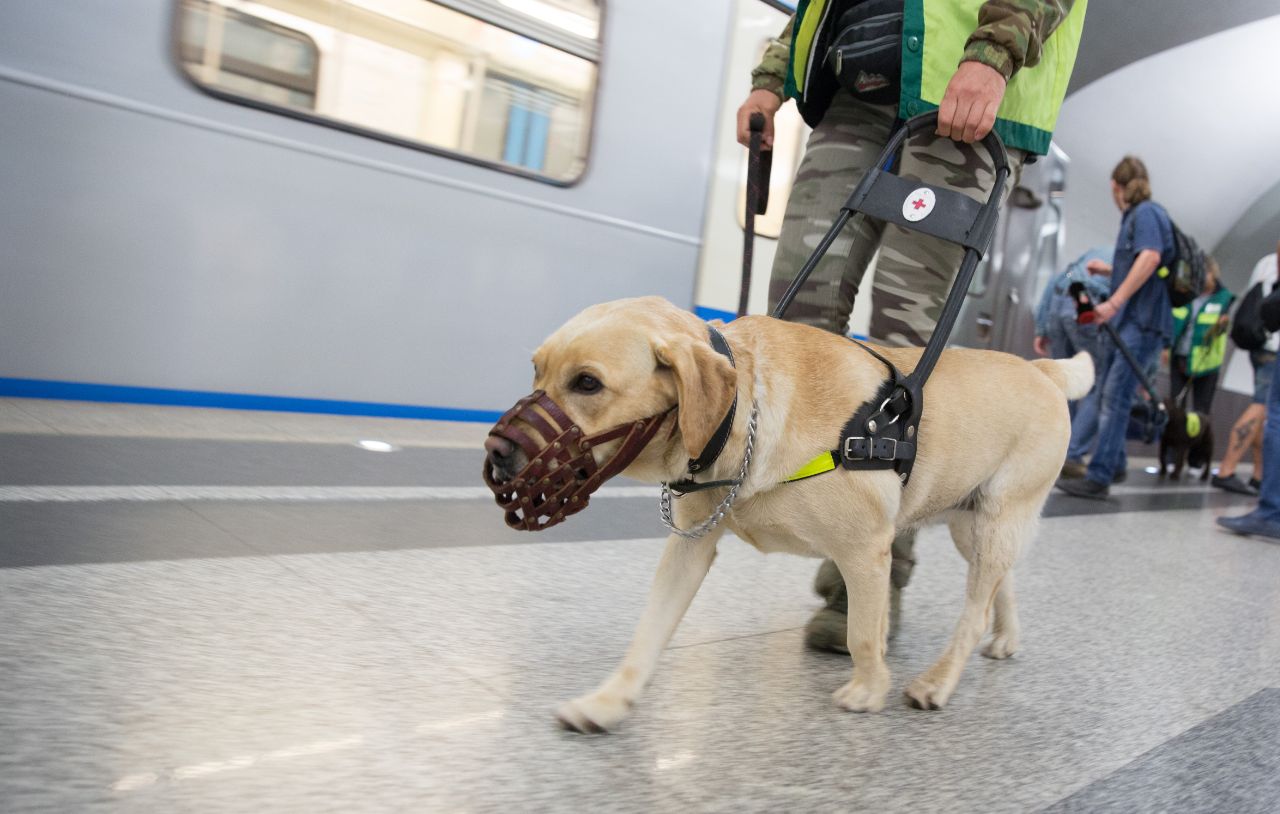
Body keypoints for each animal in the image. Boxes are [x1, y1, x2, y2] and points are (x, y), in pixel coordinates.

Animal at [483, 296, 1095, 732]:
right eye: (536, 371)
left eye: (587, 383)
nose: (495, 450)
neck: (743, 412)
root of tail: (1041, 370)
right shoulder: (690, 546)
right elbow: (648, 634)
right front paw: (610, 700)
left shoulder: (865, 551)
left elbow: (864, 634)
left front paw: (870, 688)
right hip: (975, 527)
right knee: (999, 587)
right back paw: (1005, 636)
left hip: (994, 522)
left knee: (972, 612)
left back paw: (938, 681)